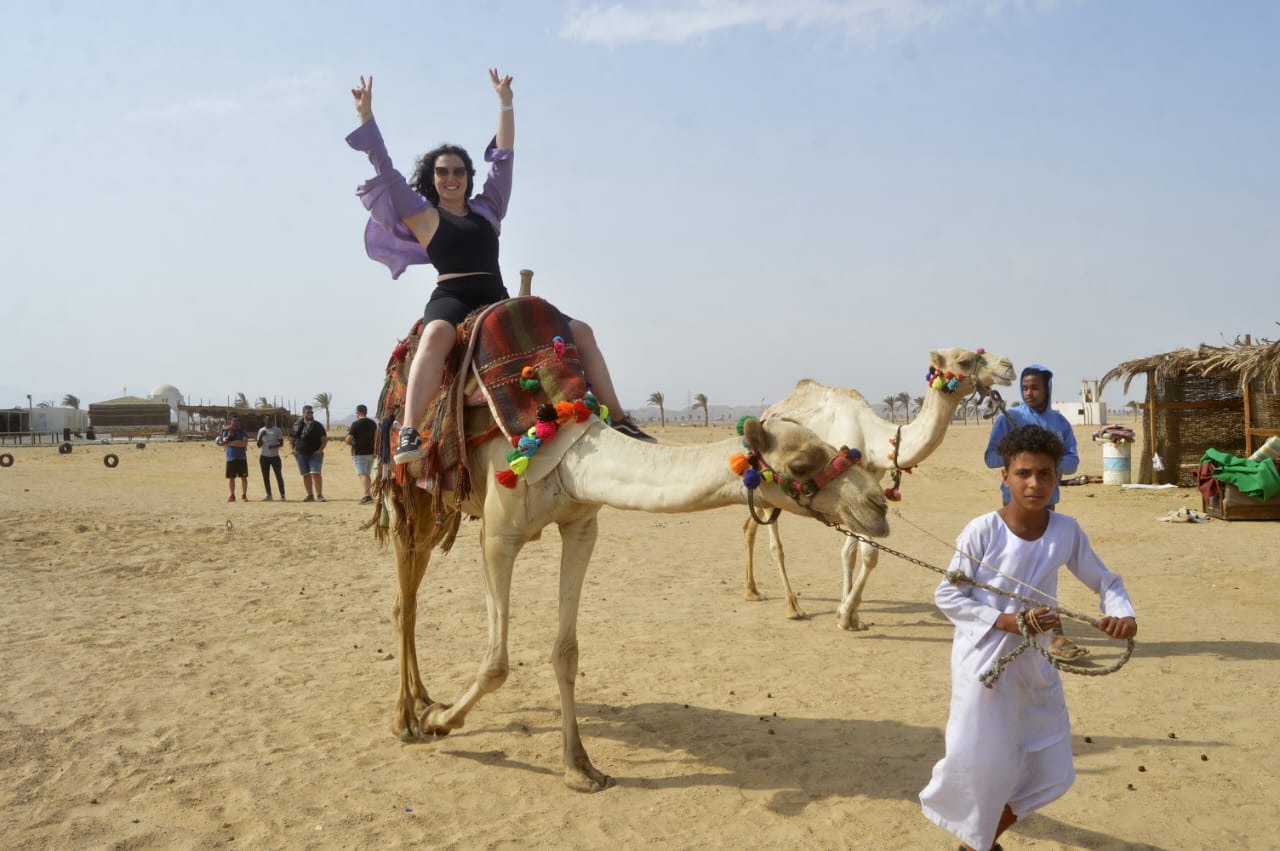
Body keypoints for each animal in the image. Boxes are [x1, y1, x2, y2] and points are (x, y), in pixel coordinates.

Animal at [378, 412, 890, 788]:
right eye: (801, 464)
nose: (878, 506)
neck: (570, 460)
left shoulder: (581, 524)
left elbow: (566, 652)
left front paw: (580, 767)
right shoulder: (498, 536)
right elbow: (496, 664)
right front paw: (440, 721)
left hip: (442, 509)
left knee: (411, 596)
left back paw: (421, 696)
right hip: (410, 496)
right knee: (404, 602)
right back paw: (406, 716)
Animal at [747, 348, 1013, 629]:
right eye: (964, 361)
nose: (1008, 366)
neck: (872, 437)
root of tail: (767, 414)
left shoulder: (860, 490)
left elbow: (850, 553)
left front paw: (850, 615)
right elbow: (869, 554)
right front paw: (846, 614)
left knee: (750, 525)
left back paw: (752, 591)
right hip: (771, 483)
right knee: (776, 546)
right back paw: (793, 607)